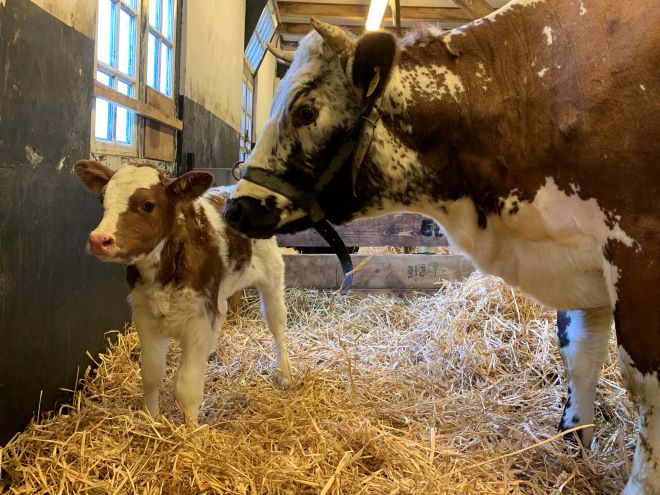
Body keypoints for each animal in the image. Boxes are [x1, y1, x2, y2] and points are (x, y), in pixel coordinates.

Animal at [73, 162, 292, 426]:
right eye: (102, 199)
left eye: (148, 204)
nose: (98, 240)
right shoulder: (145, 313)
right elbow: (151, 373)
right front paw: (151, 418)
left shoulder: (200, 319)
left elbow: (187, 386)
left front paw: (190, 430)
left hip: (272, 275)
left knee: (277, 324)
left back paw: (286, 373)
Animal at [223, 1, 660, 494]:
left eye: (304, 111)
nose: (236, 207)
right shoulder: (580, 255)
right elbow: (579, 353)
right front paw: (572, 447)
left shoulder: (638, 255)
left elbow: (644, 387)